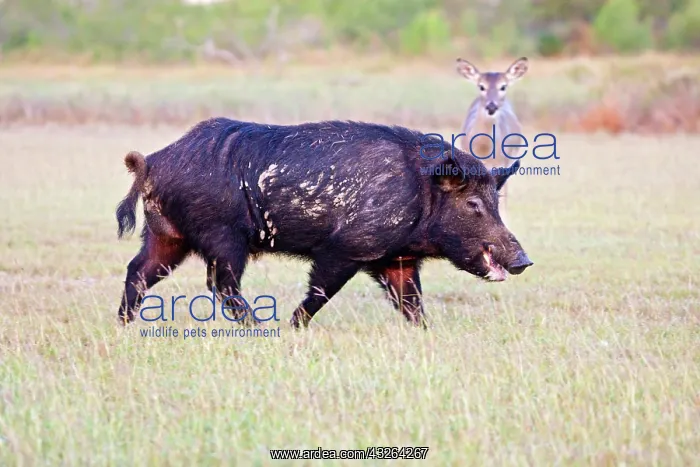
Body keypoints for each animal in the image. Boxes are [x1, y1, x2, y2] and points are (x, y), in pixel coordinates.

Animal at [115, 118, 533, 328]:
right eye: (473, 204)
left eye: (496, 202)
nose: (524, 261)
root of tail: (153, 162)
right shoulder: (346, 249)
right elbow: (320, 291)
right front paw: (293, 326)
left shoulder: (396, 259)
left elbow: (411, 303)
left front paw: (424, 333)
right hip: (221, 235)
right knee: (221, 283)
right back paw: (259, 328)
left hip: (168, 235)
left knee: (139, 270)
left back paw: (123, 324)